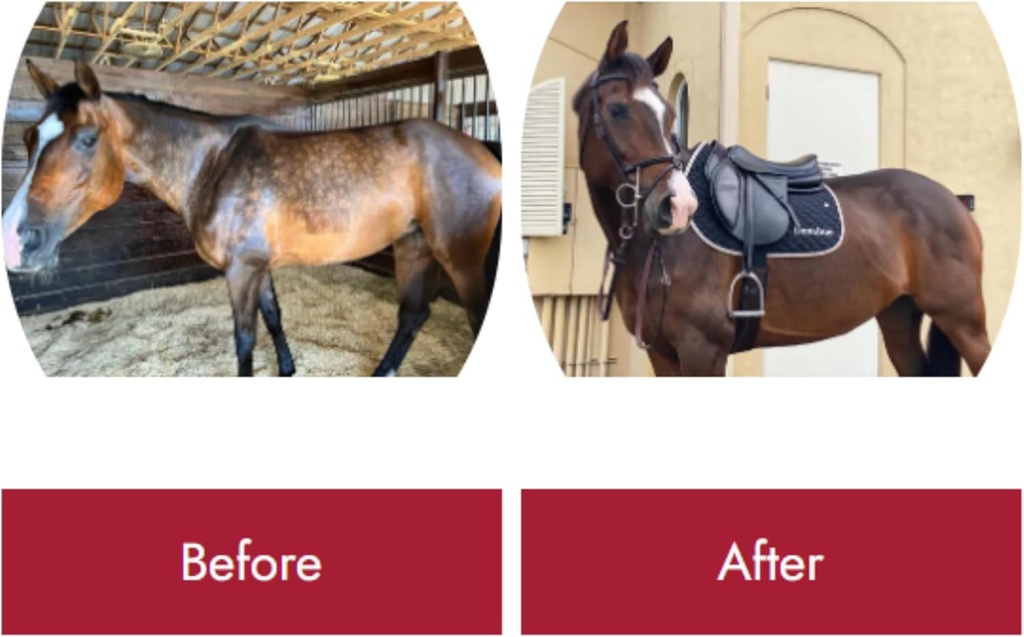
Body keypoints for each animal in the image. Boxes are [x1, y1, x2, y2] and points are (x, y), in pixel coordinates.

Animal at [2, 60, 502, 376]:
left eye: (87, 139)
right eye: (28, 137)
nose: (16, 240)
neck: (211, 164)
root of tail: (484, 152)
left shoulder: (241, 270)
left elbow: (245, 339)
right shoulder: (257, 266)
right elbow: (274, 317)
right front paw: (288, 369)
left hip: (460, 260)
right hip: (414, 246)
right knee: (412, 316)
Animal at [575, 21, 990, 376]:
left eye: (668, 115)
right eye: (617, 109)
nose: (678, 206)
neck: (660, 248)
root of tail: (953, 202)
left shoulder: (702, 351)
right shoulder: (662, 354)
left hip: (963, 320)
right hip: (899, 317)